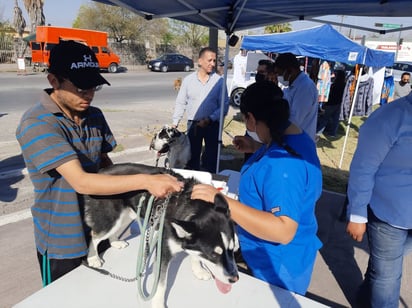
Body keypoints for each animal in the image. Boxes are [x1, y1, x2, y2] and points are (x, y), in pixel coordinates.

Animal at [81, 162, 238, 306]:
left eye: (232, 250)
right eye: (213, 255)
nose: (235, 279)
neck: (189, 207)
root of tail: (101, 171)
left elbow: (195, 255)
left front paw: (198, 270)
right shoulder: (164, 251)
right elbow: (161, 283)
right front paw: (157, 303)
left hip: (128, 215)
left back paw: (115, 242)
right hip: (111, 219)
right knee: (95, 235)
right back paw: (93, 258)